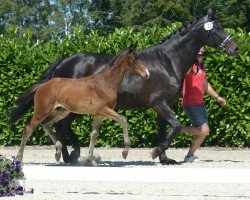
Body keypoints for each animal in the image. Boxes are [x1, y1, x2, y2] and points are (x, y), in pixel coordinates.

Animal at [16, 43, 149, 164]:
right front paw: (125, 152)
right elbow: (123, 120)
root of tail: (42, 85)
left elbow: (94, 134)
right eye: (134, 58)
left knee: (46, 124)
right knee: (28, 128)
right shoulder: (103, 109)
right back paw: (19, 158)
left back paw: (58, 152)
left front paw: (91, 160)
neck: (106, 82)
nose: (147, 74)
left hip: (62, 111)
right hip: (42, 110)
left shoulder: (99, 114)